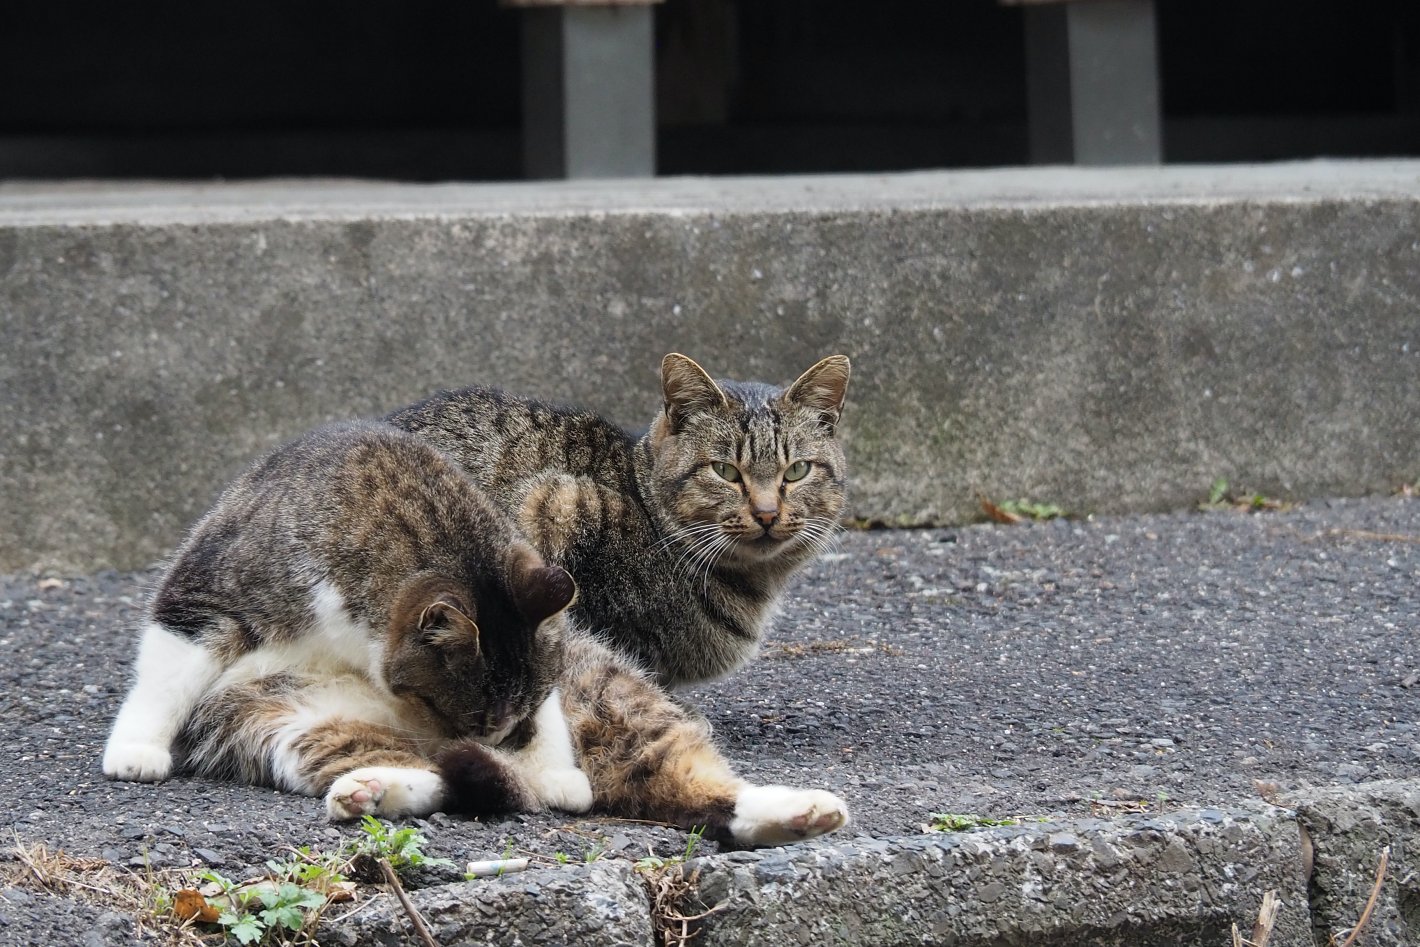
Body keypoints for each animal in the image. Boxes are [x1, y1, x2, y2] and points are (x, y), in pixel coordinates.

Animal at [105, 420, 846, 846]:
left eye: (507, 715)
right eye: (469, 711)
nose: (491, 737)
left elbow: (542, 727)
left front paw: (555, 774)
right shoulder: (205, 592)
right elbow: (166, 670)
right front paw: (136, 749)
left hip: (618, 702)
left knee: (691, 781)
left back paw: (798, 812)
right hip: (289, 724)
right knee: (430, 772)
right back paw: (376, 789)